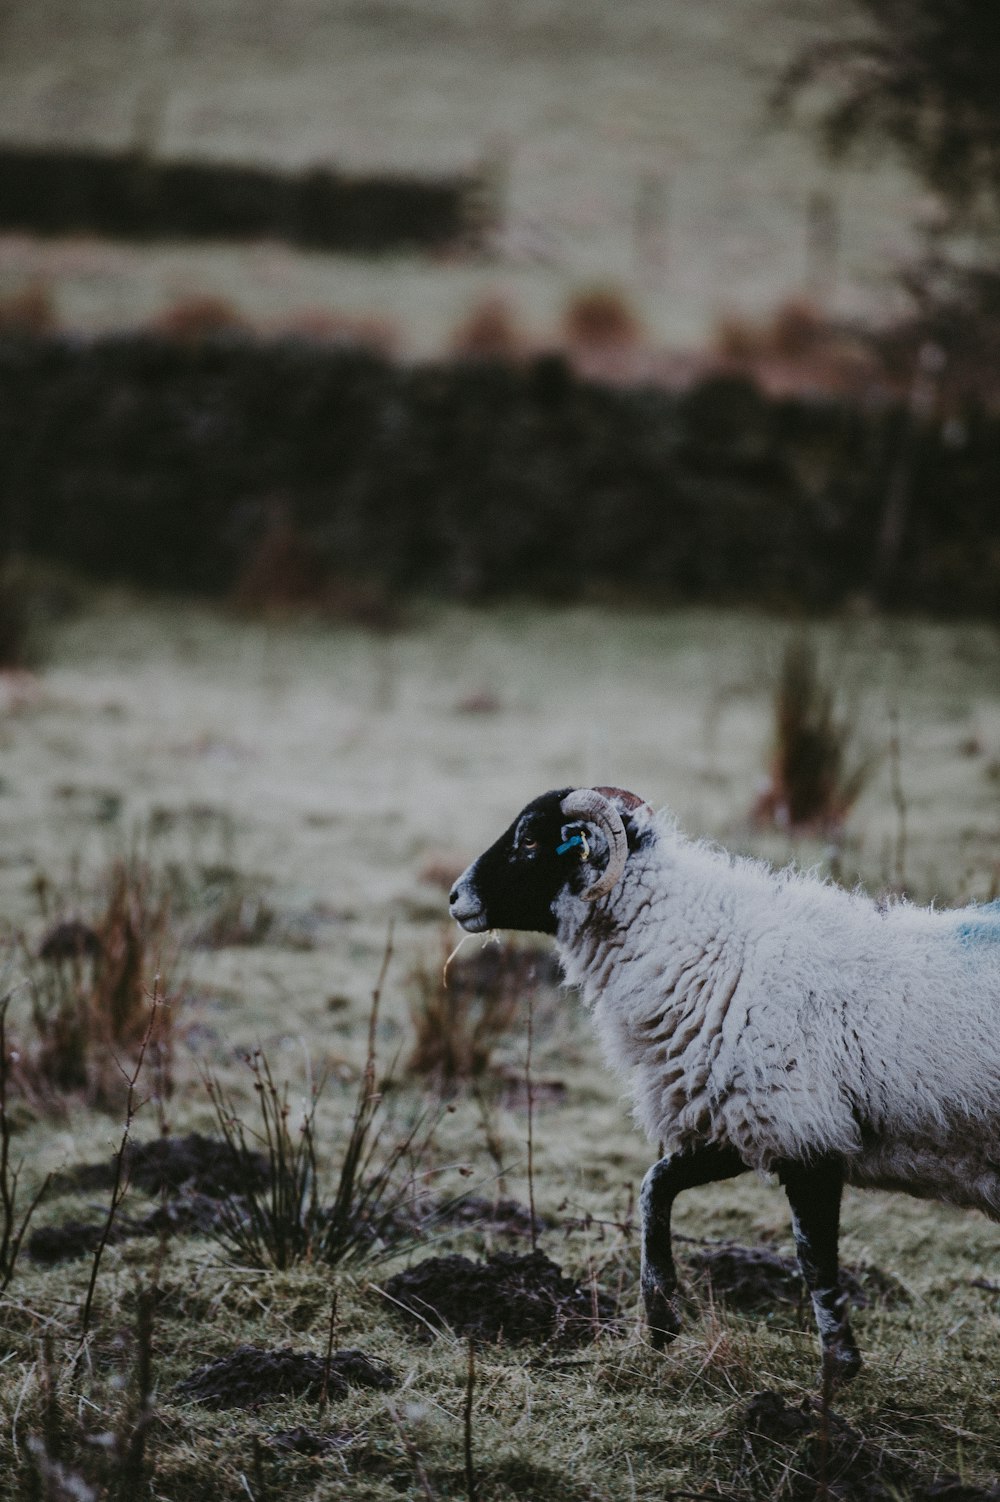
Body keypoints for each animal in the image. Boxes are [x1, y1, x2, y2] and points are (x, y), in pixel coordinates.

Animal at [447, 787, 996, 1381]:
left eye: (529, 839)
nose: (455, 897)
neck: (700, 949)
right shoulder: (743, 1126)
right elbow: (654, 1187)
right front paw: (661, 1318)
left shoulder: (805, 1132)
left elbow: (815, 1261)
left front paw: (838, 1368)